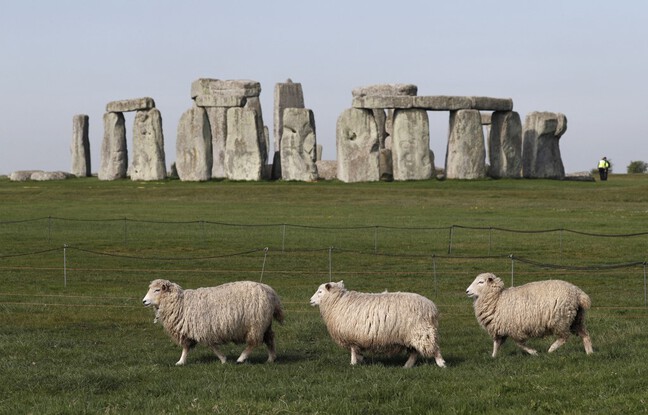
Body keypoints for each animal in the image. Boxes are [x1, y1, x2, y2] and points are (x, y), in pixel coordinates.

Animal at [142, 280, 284, 368]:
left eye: (157, 290)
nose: (143, 301)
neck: (180, 303)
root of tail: (271, 292)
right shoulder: (188, 330)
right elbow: (186, 348)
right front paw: (181, 362)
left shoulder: (204, 329)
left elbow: (213, 347)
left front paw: (223, 359)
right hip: (265, 324)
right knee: (269, 338)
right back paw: (271, 359)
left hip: (255, 324)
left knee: (253, 343)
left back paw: (241, 358)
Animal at [308, 282, 446, 368]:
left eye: (320, 291)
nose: (310, 300)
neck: (337, 301)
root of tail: (431, 307)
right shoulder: (357, 338)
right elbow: (357, 351)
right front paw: (360, 360)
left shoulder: (351, 335)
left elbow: (353, 350)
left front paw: (353, 364)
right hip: (410, 335)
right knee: (414, 352)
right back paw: (407, 366)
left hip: (421, 331)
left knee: (433, 348)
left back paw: (441, 364)